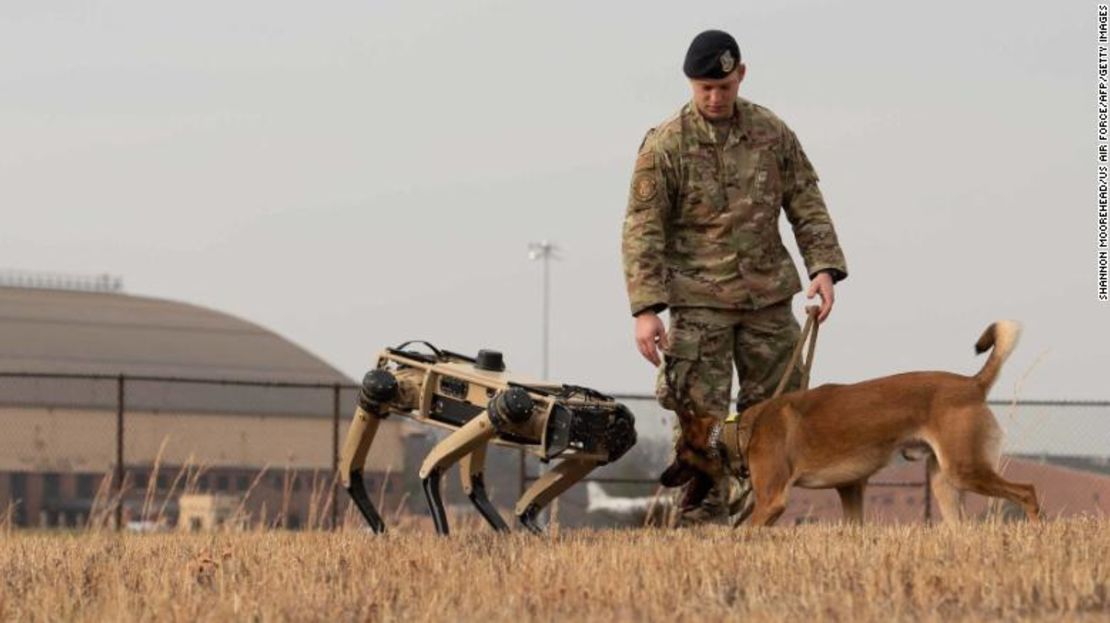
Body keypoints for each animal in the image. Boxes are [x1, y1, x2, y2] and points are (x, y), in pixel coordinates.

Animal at [661, 317, 1043, 521]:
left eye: (679, 455)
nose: (664, 478)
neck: (740, 430)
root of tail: (972, 383)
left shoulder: (771, 501)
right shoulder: (851, 487)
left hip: (966, 469)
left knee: (1027, 491)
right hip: (945, 482)